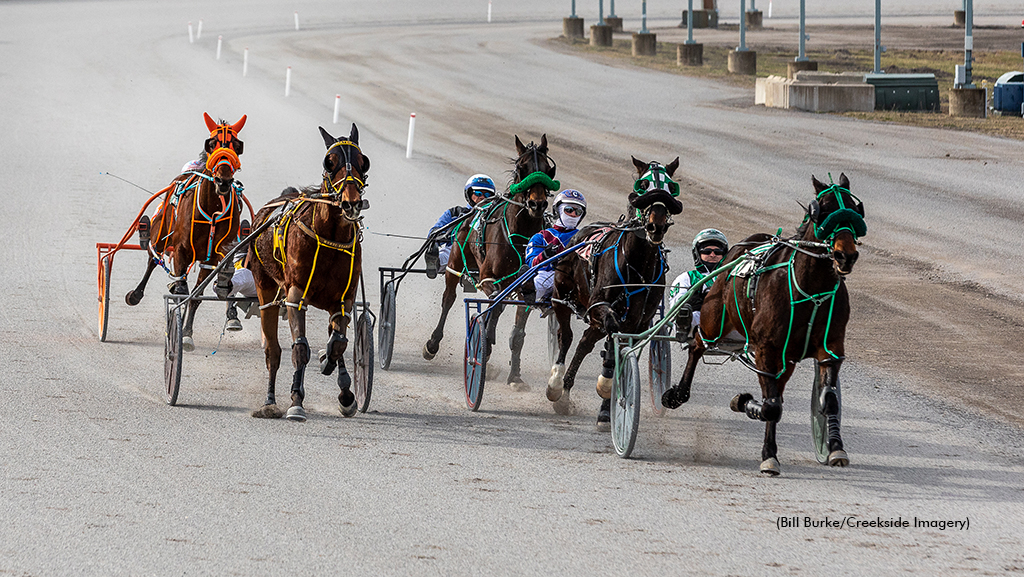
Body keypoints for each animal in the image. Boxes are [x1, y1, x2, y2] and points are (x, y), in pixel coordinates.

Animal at [124, 110, 246, 350]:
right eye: (212, 144)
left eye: (237, 146)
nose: (223, 181)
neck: (212, 207)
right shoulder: (181, 249)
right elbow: (182, 290)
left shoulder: (212, 256)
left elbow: (199, 293)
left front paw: (187, 333)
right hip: (161, 234)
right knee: (152, 258)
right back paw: (136, 294)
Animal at [245, 124, 370, 422]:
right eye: (329, 162)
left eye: (364, 162)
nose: (351, 203)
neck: (330, 237)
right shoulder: (295, 295)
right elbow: (300, 347)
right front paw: (296, 401)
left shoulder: (343, 299)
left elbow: (338, 342)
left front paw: (345, 392)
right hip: (264, 286)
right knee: (273, 350)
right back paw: (269, 402)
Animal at [419, 133, 557, 391]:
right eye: (521, 168)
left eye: (547, 169)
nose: (537, 204)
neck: (521, 235)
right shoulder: (487, 277)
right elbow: (495, 304)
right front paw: (486, 342)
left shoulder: (528, 289)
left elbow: (518, 333)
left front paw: (515, 376)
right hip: (455, 262)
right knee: (448, 299)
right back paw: (433, 343)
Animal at [548, 155, 684, 426]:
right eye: (644, 185)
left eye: (670, 187)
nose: (656, 226)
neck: (637, 265)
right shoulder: (600, 307)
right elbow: (611, 335)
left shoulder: (638, 323)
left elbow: (620, 352)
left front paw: (606, 410)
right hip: (561, 297)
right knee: (566, 337)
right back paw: (557, 385)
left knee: (584, 342)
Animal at [663, 174, 864, 475]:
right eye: (822, 211)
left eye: (854, 209)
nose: (845, 255)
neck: (811, 290)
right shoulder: (766, 349)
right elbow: (771, 407)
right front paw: (765, 447)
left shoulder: (830, 347)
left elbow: (828, 399)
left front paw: (836, 448)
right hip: (714, 322)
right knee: (698, 344)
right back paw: (678, 393)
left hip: (786, 358)